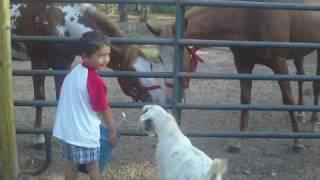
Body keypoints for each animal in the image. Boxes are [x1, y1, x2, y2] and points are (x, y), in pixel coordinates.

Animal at [11, 3, 164, 145]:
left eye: (150, 65)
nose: (156, 99)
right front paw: (39, 137)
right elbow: (39, 98)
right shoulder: (38, 65)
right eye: (131, 71)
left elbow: (60, 97)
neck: (59, 21)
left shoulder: (62, 65)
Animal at [148, 0, 320, 153]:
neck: (248, 15)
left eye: (179, 56)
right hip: (298, 54)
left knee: (314, 85)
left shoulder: (279, 63)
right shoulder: (243, 64)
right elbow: (245, 99)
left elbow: (288, 99)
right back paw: (301, 114)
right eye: (160, 58)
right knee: (301, 77)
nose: (169, 97)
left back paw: (314, 121)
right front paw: (238, 141)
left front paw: (297, 141)